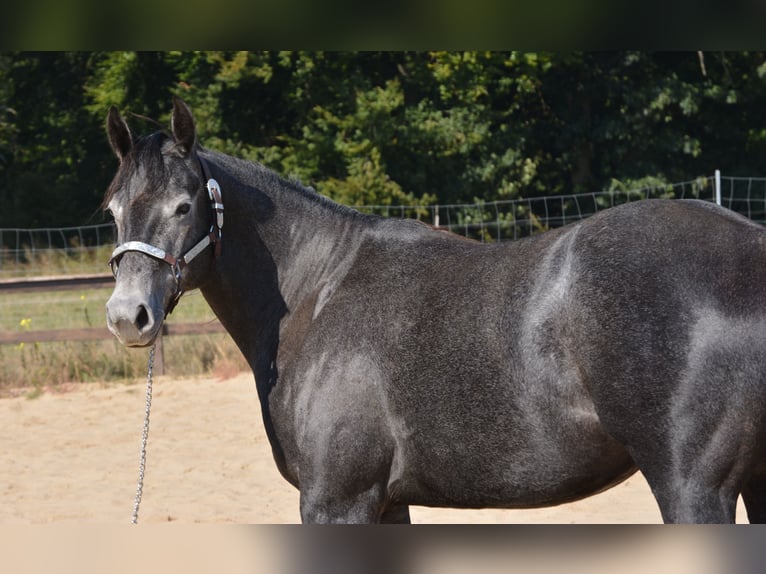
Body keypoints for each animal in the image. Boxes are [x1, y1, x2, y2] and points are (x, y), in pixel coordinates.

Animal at [104, 97, 766, 523]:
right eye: (112, 209)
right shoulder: (386, 501)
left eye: (184, 205)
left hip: (692, 491)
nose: (126, 315)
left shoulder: (337, 500)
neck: (318, 291)